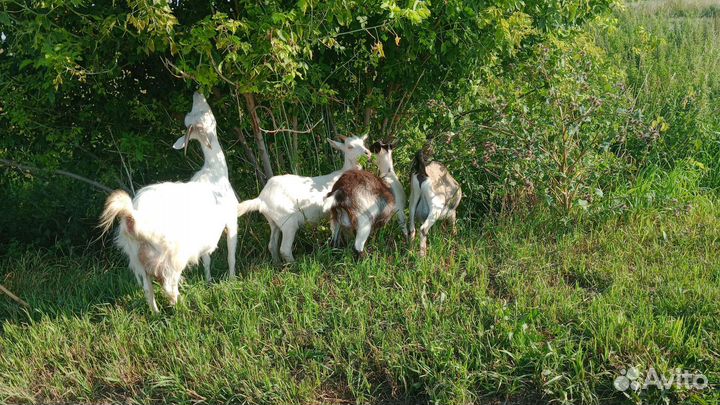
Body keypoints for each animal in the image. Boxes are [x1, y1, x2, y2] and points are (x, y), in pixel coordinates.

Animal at [99, 92, 238, 313]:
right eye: (202, 112)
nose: (198, 93)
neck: (214, 172)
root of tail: (133, 218)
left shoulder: (205, 237)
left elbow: (207, 260)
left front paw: (208, 281)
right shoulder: (231, 221)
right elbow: (231, 256)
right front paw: (233, 280)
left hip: (137, 259)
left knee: (148, 290)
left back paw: (156, 314)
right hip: (171, 256)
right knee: (169, 287)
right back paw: (183, 308)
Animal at [237, 135, 371, 264]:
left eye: (363, 143)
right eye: (350, 146)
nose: (367, 153)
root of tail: (261, 199)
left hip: (273, 222)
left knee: (272, 245)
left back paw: (277, 264)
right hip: (288, 222)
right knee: (284, 249)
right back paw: (294, 265)